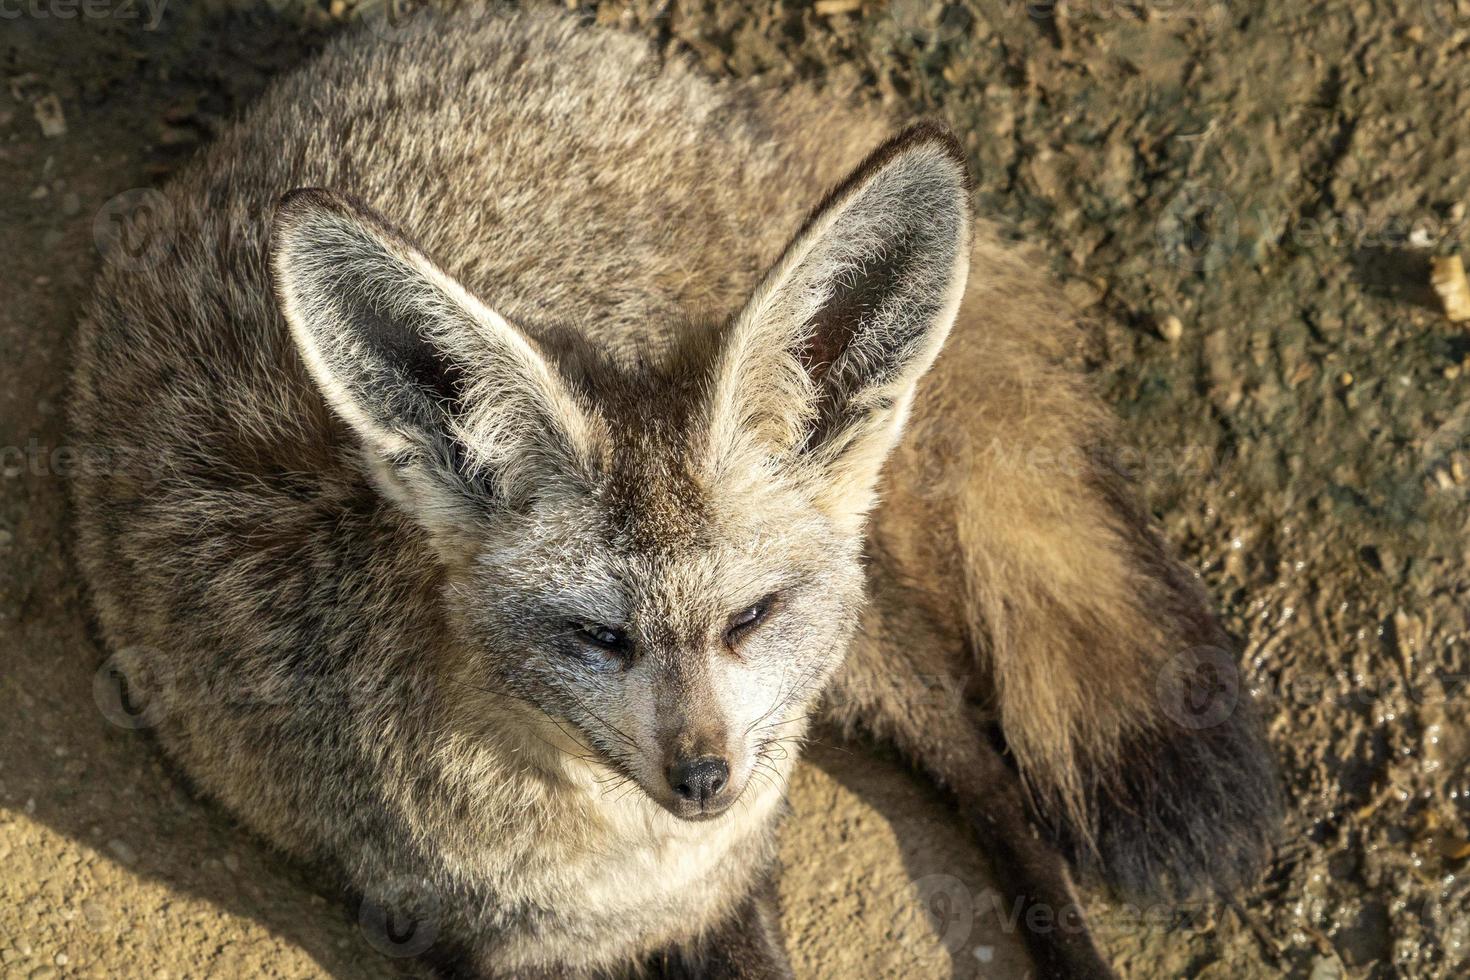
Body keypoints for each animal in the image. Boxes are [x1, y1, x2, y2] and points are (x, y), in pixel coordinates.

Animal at [71, 3, 1275, 975]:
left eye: (749, 616)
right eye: (599, 635)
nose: (705, 776)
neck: (631, 875)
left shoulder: (734, 874)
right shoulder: (505, 949)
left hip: (865, 659)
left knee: (976, 758)